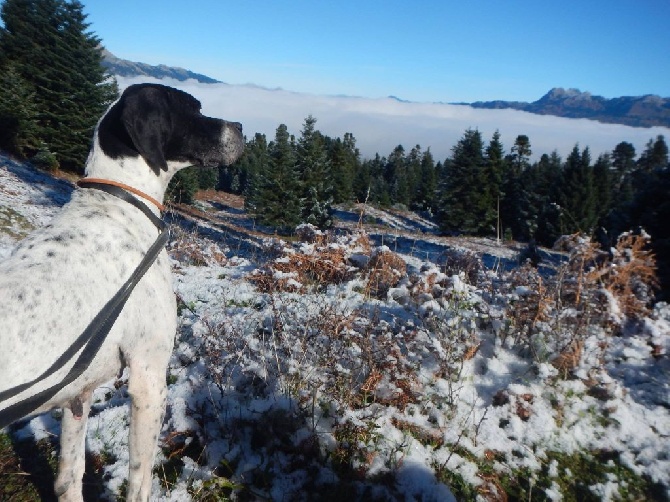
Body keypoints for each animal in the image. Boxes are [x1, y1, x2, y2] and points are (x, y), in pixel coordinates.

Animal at [0, 84, 245, 500]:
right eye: (194, 108)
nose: (242, 128)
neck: (119, 203)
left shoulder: (77, 394)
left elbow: (69, 477)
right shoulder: (148, 379)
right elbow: (139, 483)